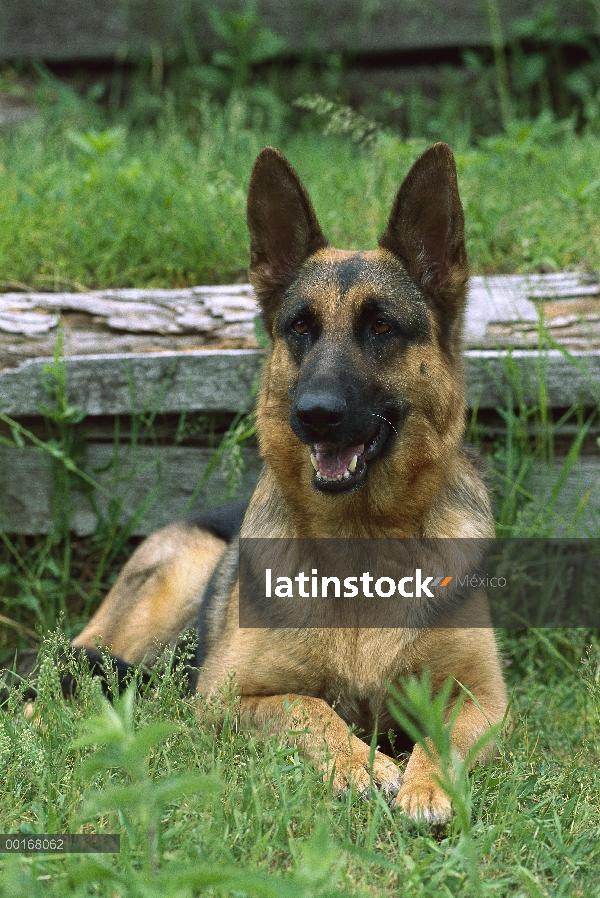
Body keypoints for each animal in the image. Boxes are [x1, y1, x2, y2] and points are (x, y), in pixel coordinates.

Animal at [72, 144, 508, 824]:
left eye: (382, 327)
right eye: (300, 327)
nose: (316, 414)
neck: (362, 543)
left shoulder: (485, 699)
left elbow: (442, 733)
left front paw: (427, 785)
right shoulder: (227, 698)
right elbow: (310, 709)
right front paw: (361, 766)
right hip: (175, 582)